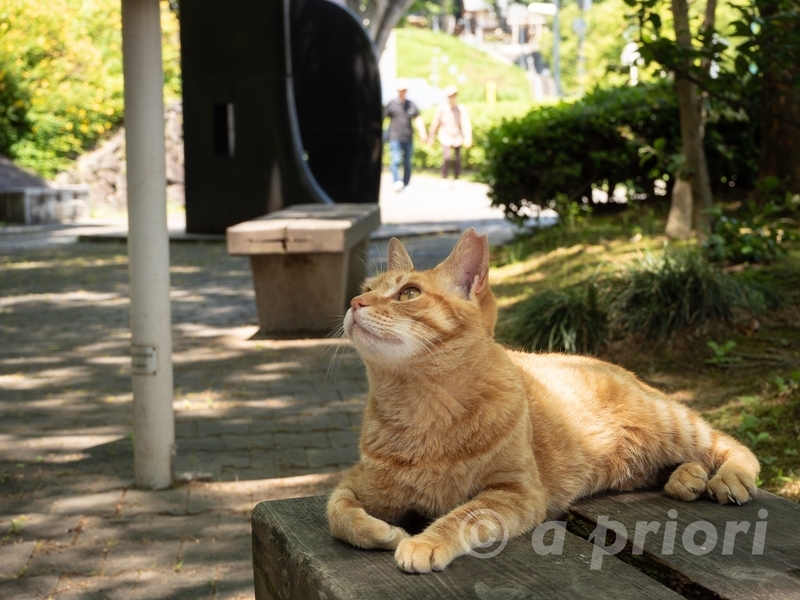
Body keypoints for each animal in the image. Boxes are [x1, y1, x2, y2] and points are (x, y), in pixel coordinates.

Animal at [326, 229, 764, 572]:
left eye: (409, 293)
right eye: (366, 290)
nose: (353, 304)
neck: (422, 409)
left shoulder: (515, 492)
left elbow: (464, 514)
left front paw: (424, 541)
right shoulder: (357, 482)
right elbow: (337, 512)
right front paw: (382, 531)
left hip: (673, 425)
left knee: (732, 445)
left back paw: (728, 476)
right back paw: (686, 477)